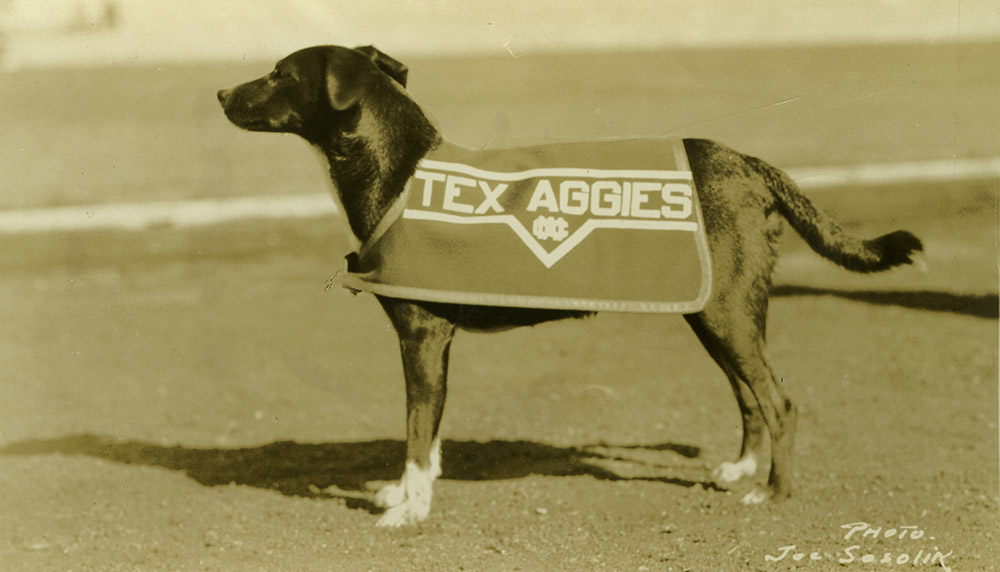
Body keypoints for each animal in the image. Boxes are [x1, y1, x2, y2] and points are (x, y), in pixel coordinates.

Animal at [217, 45, 920, 528]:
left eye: (279, 73)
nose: (220, 91)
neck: (401, 171)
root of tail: (746, 164)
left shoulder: (421, 337)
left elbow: (417, 433)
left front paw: (409, 509)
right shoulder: (436, 344)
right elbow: (431, 432)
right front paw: (411, 494)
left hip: (727, 314)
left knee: (780, 402)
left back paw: (772, 491)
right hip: (716, 313)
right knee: (750, 398)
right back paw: (744, 468)